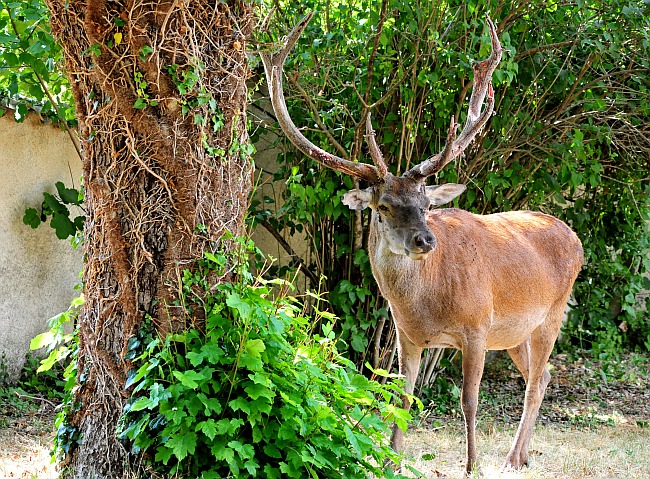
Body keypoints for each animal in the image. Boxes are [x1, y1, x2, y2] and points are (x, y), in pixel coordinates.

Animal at [260, 12, 584, 476]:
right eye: (383, 206)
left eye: (427, 204)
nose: (425, 239)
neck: (428, 303)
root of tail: (574, 236)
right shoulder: (406, 336)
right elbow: (402, 399)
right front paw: (390, 461)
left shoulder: (477, 326)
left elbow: (469, 401)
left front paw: (471, 465)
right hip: (516, 333)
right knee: (542, 376)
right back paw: (521, 456)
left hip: (551, 315)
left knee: (537, 380)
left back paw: (509, 457)